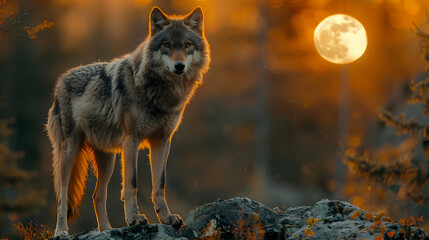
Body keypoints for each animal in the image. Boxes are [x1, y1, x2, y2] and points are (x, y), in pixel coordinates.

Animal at [46, 7, 211, 236]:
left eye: (187, 45)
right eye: (167, 45)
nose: (179, 66)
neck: (159, 91)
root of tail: (61, 80)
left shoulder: (162, 141)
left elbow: (159, 184)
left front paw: (166, 218)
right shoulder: (131, 140)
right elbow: (132, 183)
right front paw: (134, 219)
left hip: (108, 161)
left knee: (97, 196)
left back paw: (107, 229)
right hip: (70, 153)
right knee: (62, 196)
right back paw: (61, 231)